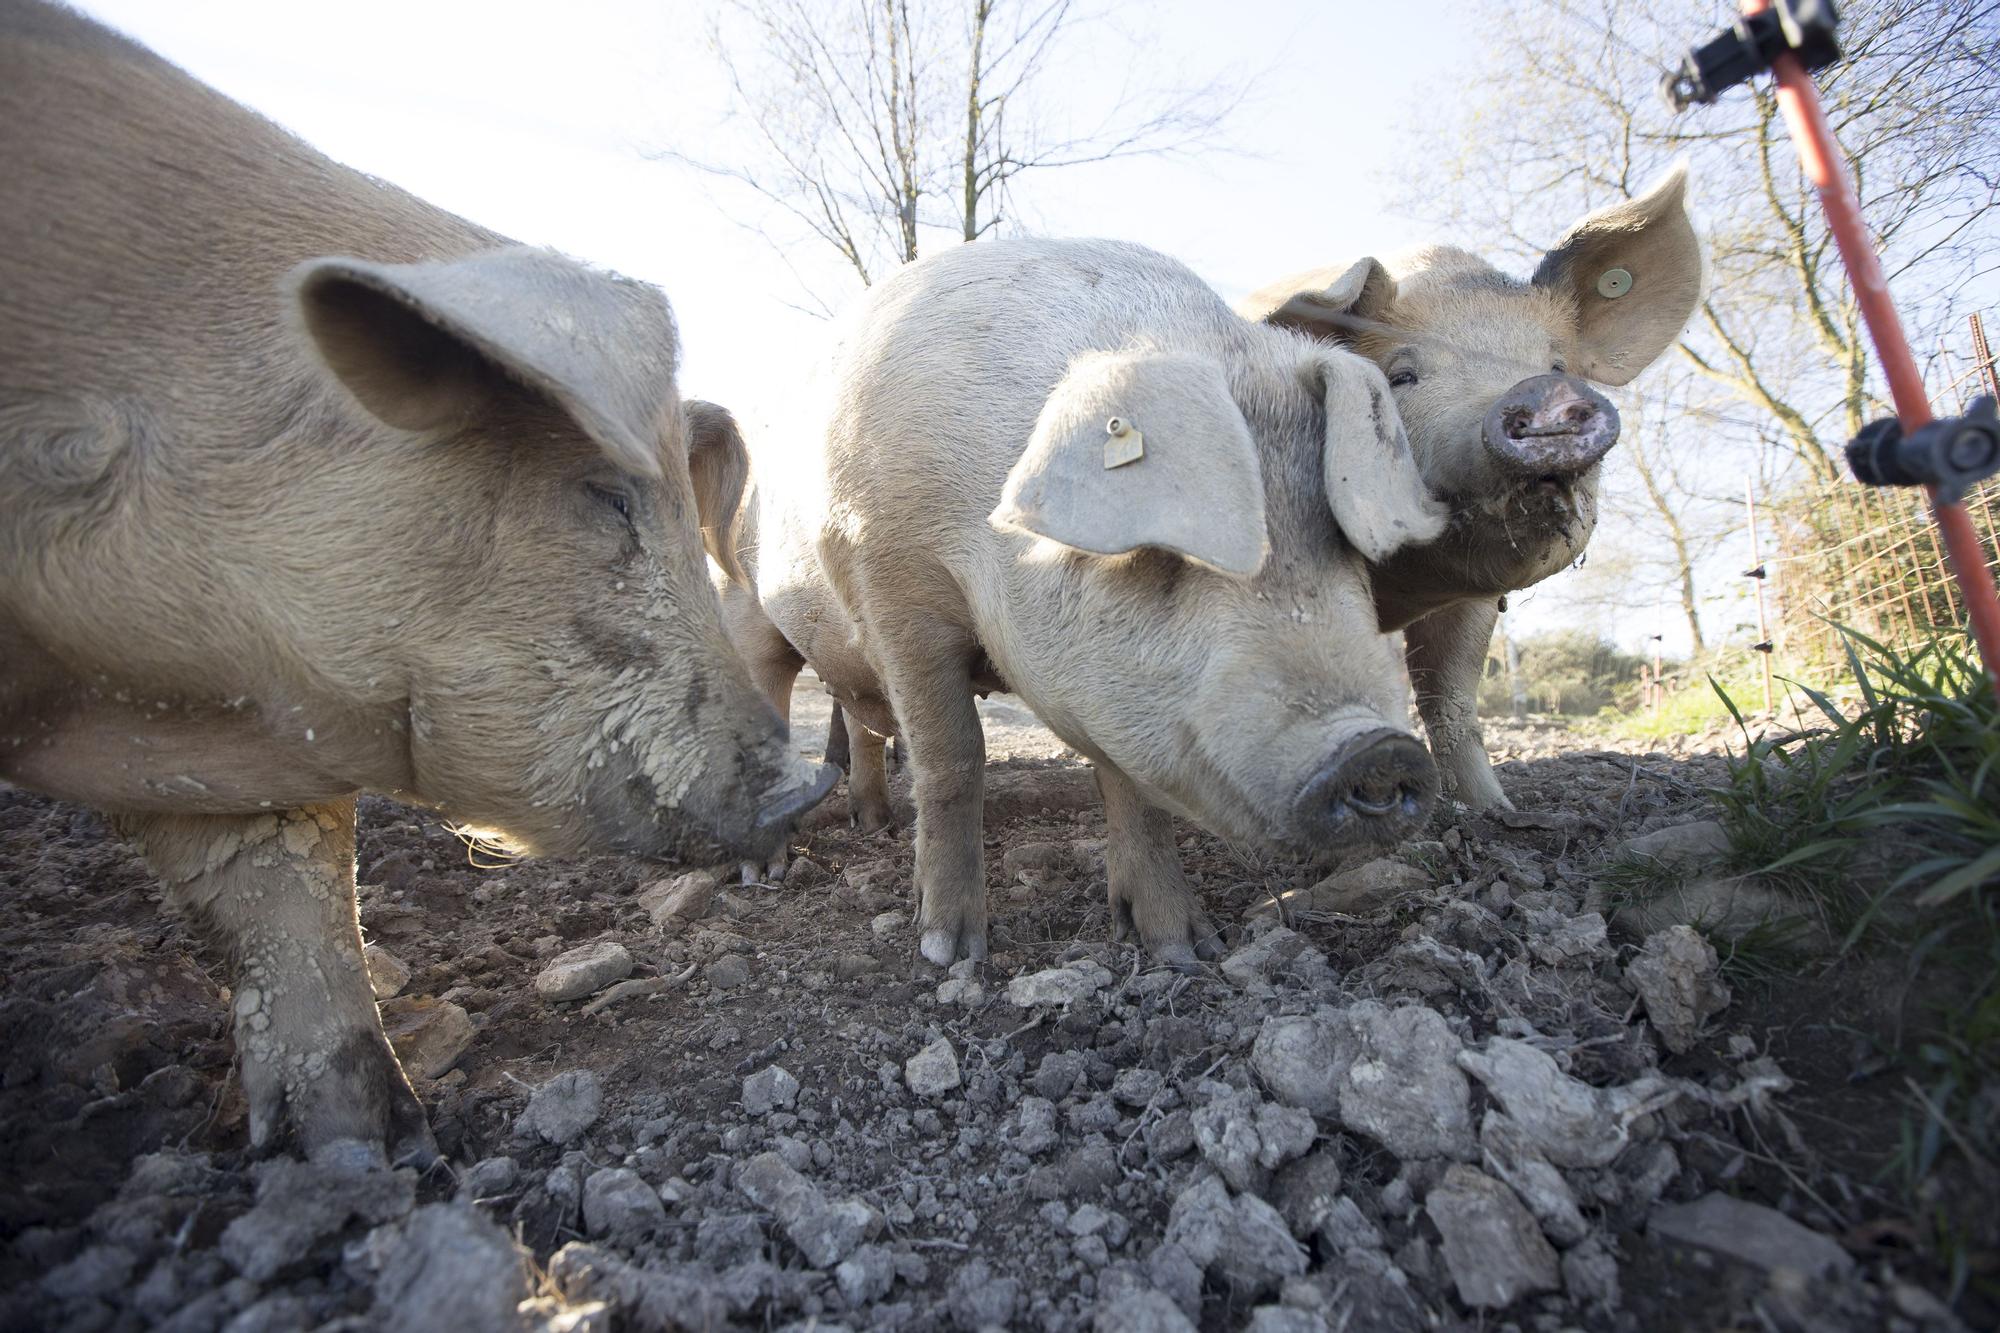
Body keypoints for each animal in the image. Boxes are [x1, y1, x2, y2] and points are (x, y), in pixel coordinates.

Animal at [724, 239, 1456, 960]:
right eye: (1166, 550)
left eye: (1343, 544)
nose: (1378, 748)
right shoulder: (889, 575)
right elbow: (954, 756)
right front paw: (949, 953)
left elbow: (1129, 782)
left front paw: (1182, 948)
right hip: (747, 592)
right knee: (773, 691)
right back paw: (763, 870)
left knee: (863, 723)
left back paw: (874, 826)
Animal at [1232, 169, 1704, 808]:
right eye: (1401, 376)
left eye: (1557, 366)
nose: (1535, 392)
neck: (1407, 586)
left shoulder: (1475, 599)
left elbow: (1451, 697)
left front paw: (1493, 809)